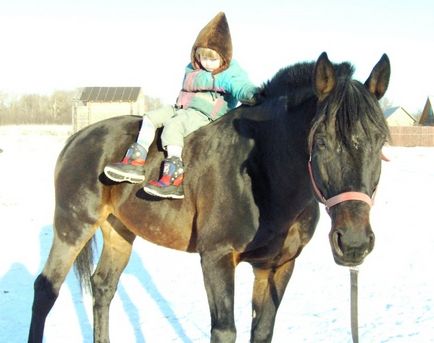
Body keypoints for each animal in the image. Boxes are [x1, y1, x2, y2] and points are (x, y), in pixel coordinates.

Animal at [28, 51, 392, 343]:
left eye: (380, 142)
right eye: (321, 141)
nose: (354, 242)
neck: (263, 174)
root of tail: (79, 136)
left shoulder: (277, 266)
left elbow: (262, 330)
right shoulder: (216, 257)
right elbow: (225, 331)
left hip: (119, 230)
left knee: (103, 288)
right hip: (73, 225)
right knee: (46, 289)